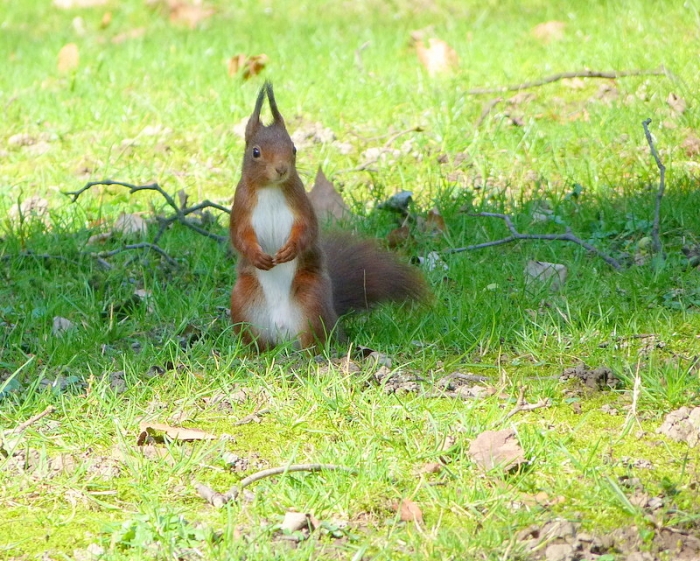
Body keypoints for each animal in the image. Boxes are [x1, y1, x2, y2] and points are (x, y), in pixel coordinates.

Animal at [229, 82, 426, 350]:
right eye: (255, 152)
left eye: (293, 148)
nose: (281, 169)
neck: (270, 189)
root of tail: (283, 337)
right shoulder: (241, 208)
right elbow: (239, 236)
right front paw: (257, 255)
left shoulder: (301, 204)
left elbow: (307, 230)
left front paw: (290, 249)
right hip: (243, 301)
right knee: (254, 337)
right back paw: (253, 352)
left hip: (311, 299)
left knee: (315, 336)